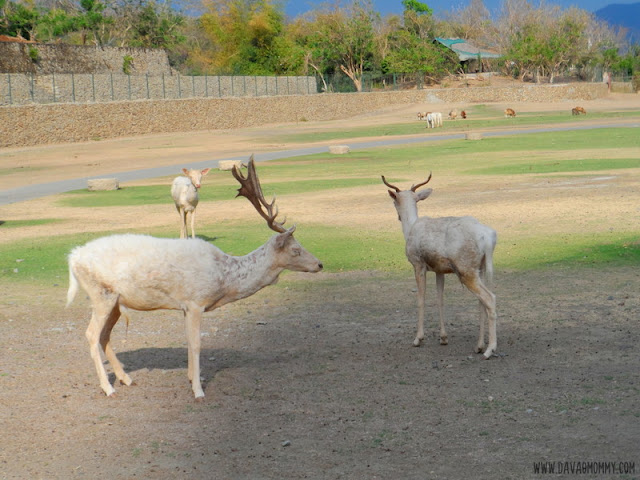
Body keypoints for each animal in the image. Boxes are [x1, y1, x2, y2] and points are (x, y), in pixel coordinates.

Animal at [67, 156, 322, 400]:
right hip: (101, 295)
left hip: (116, 302)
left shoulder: (185, 306)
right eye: (296, 249)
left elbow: (189, 341)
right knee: (91, 334)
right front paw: (198, 391)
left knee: (104, 335)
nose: (320, 264)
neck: (224, 279)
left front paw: (191, 378)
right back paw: (108, 388)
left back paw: (126, 378)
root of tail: (72, 258)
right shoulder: (195, 302)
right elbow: (197, 343)